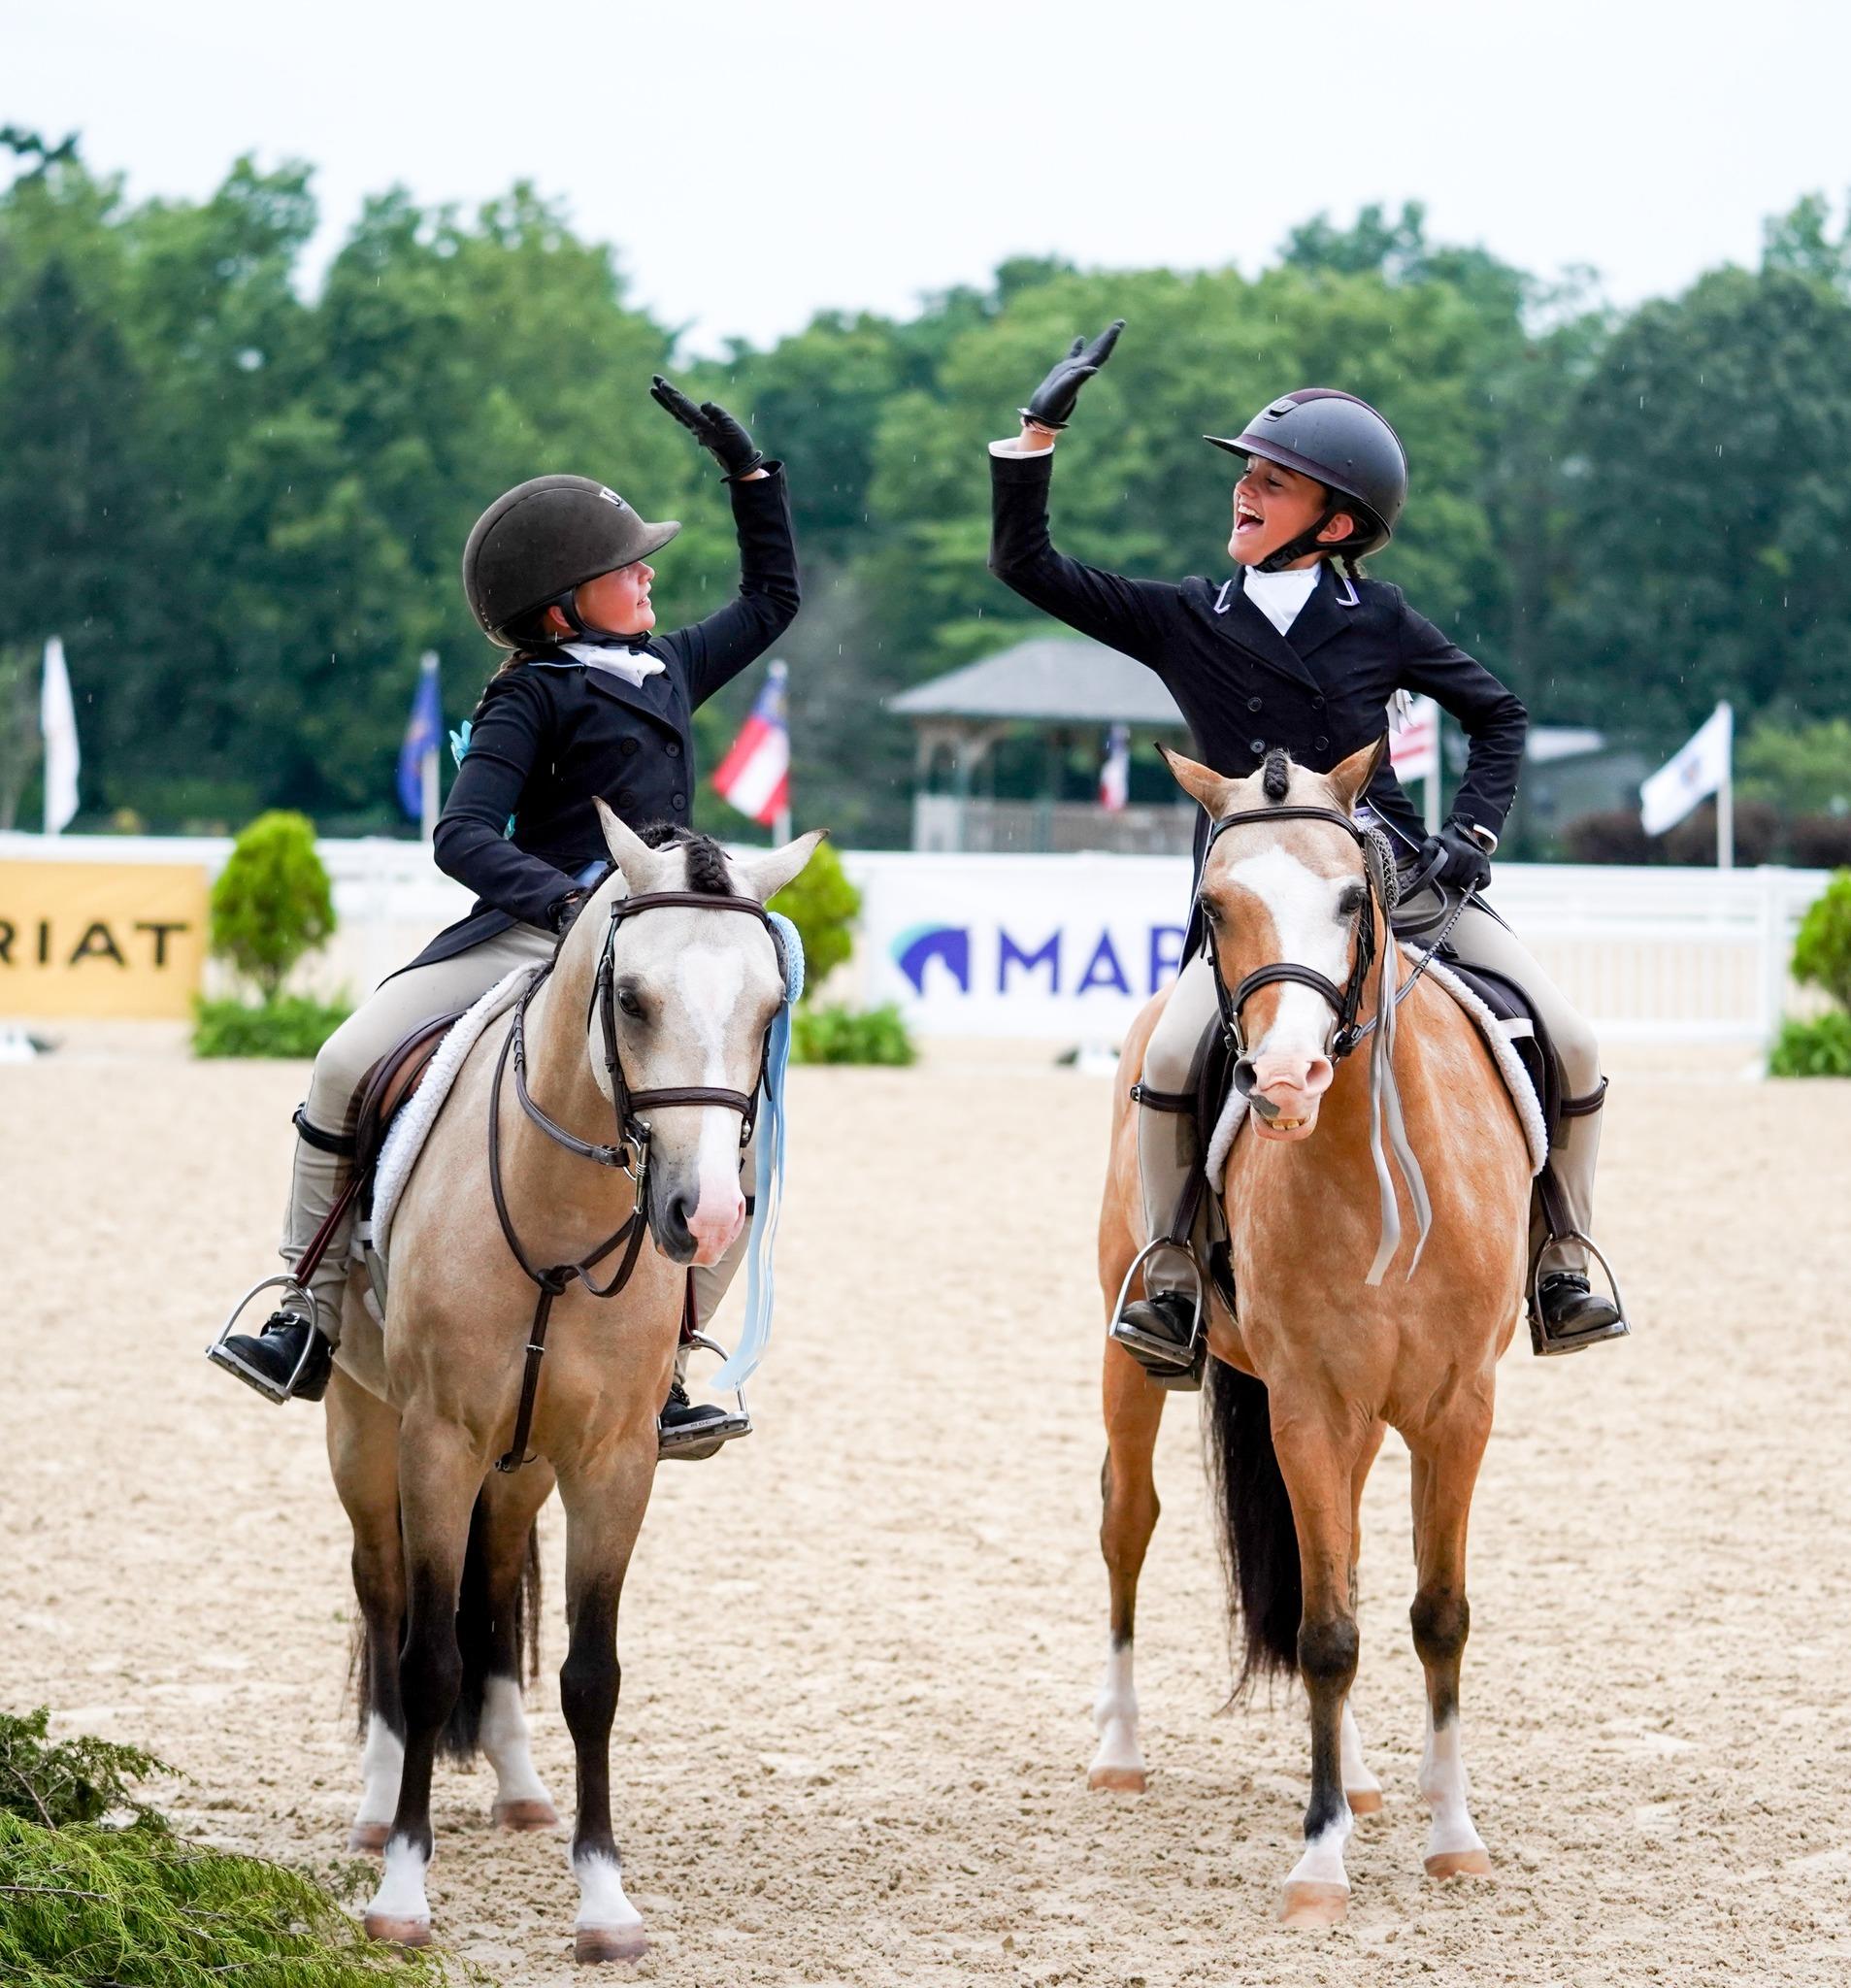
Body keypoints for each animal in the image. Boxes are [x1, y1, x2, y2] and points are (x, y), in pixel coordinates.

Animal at [323, 801, 821, 1961]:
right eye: (631, 998)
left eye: (769, 1006)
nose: (706, 1215)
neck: (556, 1220)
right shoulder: (437, 1442)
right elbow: (426, 1658)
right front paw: (404, 1891)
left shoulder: (611, 1462)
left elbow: (592, 1676)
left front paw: (603, 1901)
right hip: (364, 1432)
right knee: (382, 1594)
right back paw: (376, 1804)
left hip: (522, 1467)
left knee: (499, 1585)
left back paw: (518, 1787)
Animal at [1090, 740, 1532, 1927]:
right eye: (1214, 904)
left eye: (1349, 899)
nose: (1284, 1081)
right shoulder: (1306, 1406)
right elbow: (1327, 1631)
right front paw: (1319, 1859)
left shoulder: (1456, 1409)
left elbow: (1436, 1613)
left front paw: (1452, 1835)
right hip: (1129, 1360)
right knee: (1127, 1522)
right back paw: (1118, 1750)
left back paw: (1371, 1775)